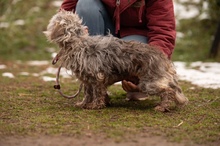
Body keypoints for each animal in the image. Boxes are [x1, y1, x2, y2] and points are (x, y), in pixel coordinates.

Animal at [43, 10, 188, 112]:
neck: (78, 42)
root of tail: (162, 57)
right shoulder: (87, 81)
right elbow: (88, 94)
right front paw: (84, 104)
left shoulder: (97, 78)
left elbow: (97, 94)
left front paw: (96, 105)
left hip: (148, 83)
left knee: (168, 91)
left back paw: (162, 107)